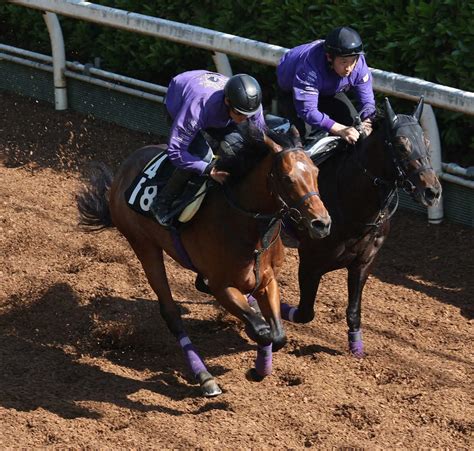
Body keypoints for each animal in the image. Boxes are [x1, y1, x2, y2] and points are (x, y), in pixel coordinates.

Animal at [77, 127, 330, 396]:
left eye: (316, 172)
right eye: (287, 178)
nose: (322, 223)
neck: (247, 226)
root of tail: (123, 169)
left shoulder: (267, 280)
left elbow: (279, 336)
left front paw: (260, 366)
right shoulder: (222, 285)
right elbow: (262, 331)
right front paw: (253, 360)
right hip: (143, 245)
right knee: (171, 313)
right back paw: (204, 376)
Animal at [282, 98, 440, 356]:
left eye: (426, 142)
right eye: (400, 145)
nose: (432, 191)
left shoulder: (363, 263)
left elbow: (353, 310)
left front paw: (356, 348)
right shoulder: (310, 262)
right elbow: (305, 312)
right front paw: (279, 308)